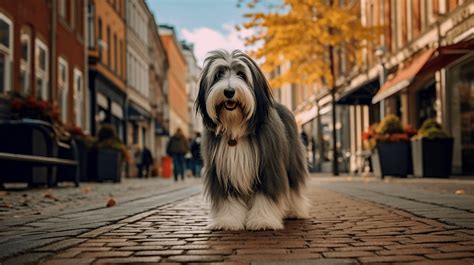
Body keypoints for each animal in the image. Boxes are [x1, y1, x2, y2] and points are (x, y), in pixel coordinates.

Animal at [194, 49, 310, 229]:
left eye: (241, 74)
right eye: (218, 74)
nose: (229, 92)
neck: (236, 129)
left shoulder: (268, 167)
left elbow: (265, 196)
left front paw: (263, 220)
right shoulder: (223, 171)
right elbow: (228, 200)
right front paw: (227, 220)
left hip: (292, 162)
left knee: (294, 186)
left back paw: (295, 211)